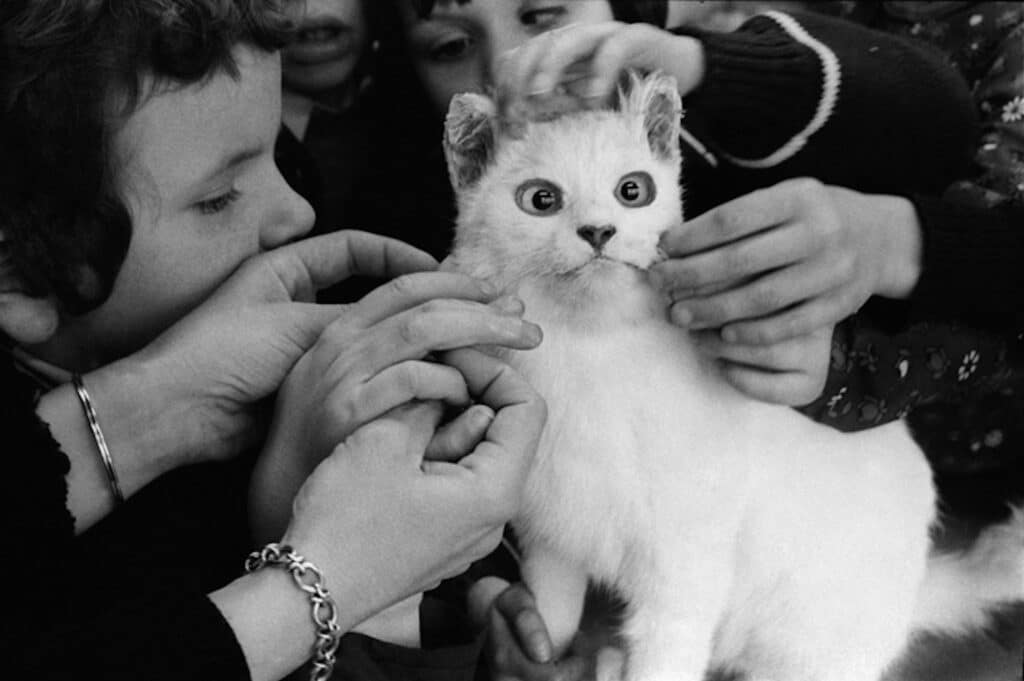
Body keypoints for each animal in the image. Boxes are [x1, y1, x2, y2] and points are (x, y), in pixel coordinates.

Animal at [442, 70, 1024, 679]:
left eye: (633, 191)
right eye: (541, 200)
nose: (598, 230)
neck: (592, 357)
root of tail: (908, 599)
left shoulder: (685, 571)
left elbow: (664, 659)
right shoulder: (550, 544)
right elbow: (549, 620)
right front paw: (534, 657)